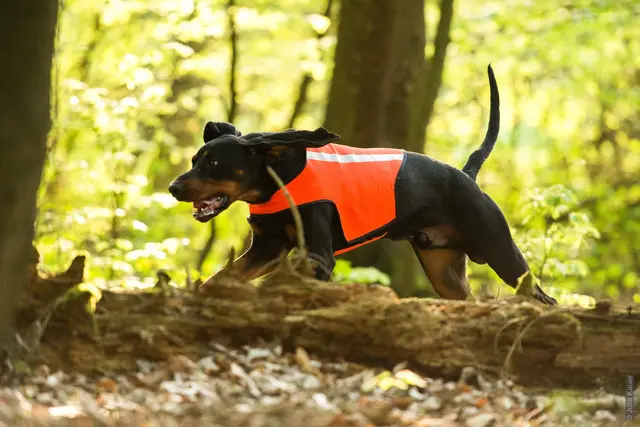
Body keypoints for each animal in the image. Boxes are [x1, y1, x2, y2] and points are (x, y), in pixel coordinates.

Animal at [168, 66, 556, 304]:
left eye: (212, 162)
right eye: (194, 160)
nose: (173, 188)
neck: (278, 181)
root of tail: (466, 175)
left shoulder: (318, 256)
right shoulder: (267, 248)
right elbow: (219, 278)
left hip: (501, 252)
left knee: (542, 296)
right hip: (443, 268)